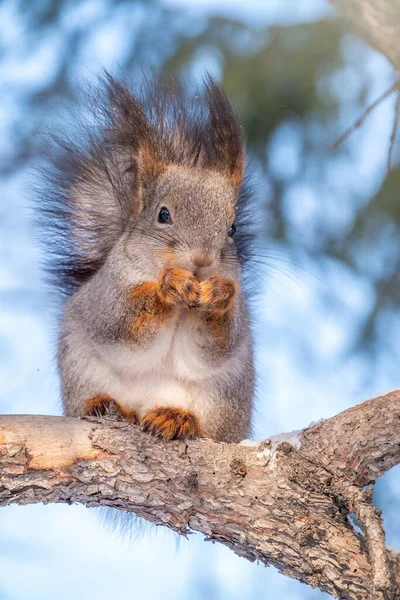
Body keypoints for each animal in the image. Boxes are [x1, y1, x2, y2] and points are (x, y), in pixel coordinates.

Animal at [38, 72, 256, 442]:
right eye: (163, 215)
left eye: (232, 228)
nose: (201, 261)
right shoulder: (108, 292)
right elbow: (123, 322)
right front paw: (170, 286)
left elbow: (219, 343)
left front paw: (218, 294)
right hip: (82, 371)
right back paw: (104, 404)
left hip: (225, 401)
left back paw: (178, 419)